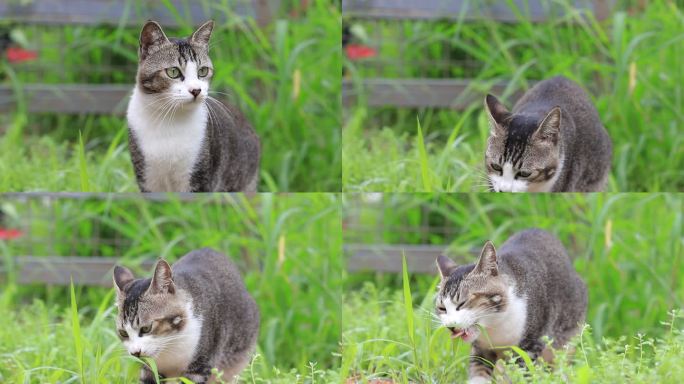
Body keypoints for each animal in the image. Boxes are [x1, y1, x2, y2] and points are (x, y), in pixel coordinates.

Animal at [113, 248, 260, 382]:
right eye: (123, 333)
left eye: (146, 328)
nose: (135, 353)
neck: (170, 344)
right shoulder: (150, 368)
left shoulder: (199, 367)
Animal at [127, 20, 260, 192]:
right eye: (173, 72)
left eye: (202, 71)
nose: (196, 90)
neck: (169, 119)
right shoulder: (146, 177)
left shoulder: (199, 176)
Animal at [436, 230, 584, 382]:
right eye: (442, 308)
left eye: (462, 303)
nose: (451, 326)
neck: (496, 326)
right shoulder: (481, 349)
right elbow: (479, 372)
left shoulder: (530, 347)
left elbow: (523, 375)